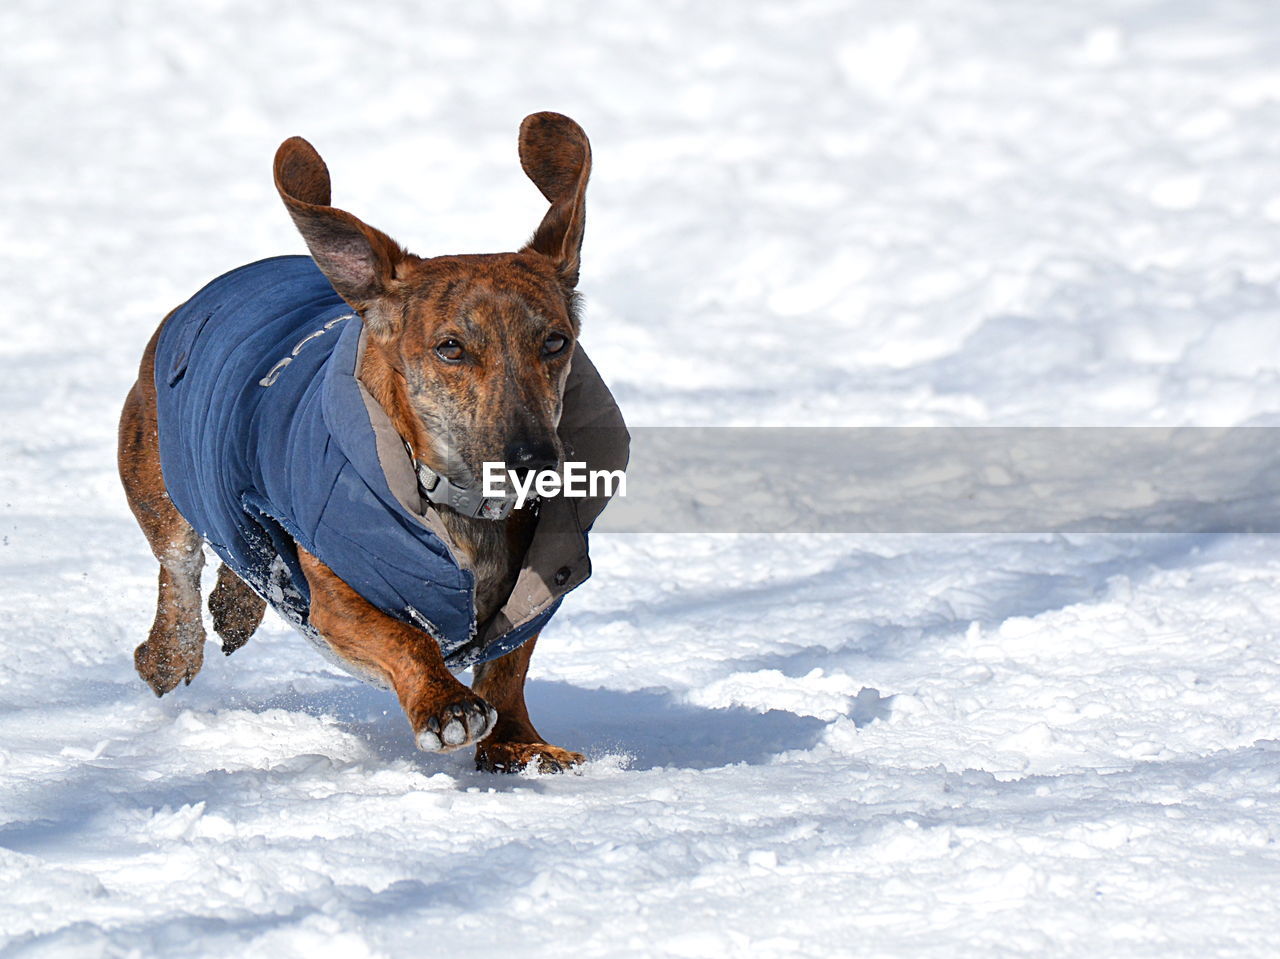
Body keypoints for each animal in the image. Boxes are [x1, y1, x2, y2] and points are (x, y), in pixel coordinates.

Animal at [117, 113, 627, 768]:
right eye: (450, 348)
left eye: (556, 342)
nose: (535, 460)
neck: (462, 508)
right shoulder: (336, 594)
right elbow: (402, 637)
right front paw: (447, 706)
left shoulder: (539, 592)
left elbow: (510, 665)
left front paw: (521, 743)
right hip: (159, 469)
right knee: (178, 562)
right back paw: (170, 652)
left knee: (238, 549)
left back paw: (237, 607)